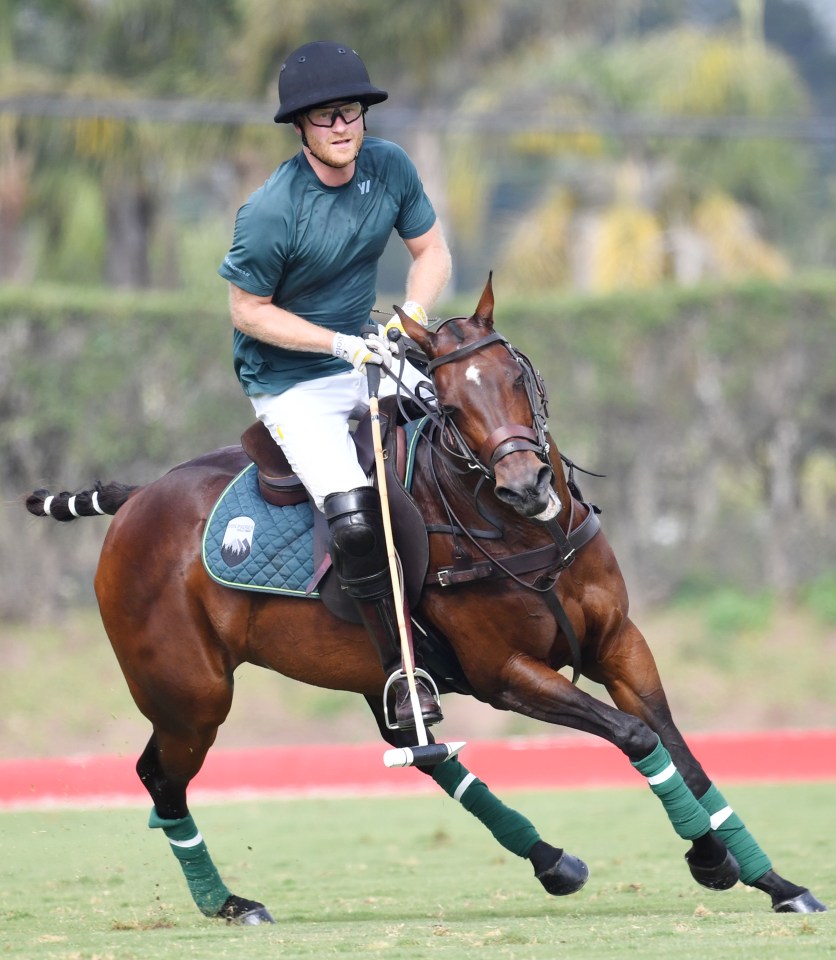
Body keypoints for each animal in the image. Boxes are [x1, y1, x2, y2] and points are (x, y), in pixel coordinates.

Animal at [24, 274, 824, 920]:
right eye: (451, 400)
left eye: (515, 373)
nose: (526, 487)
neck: (516, 530)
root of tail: (136, 499)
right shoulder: (504, 673)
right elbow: (635, 736)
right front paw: (712, 860)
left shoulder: (619, 641)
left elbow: (681, 749)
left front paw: (776, 883)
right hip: (189, 690)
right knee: (161, 776)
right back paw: (228, 903)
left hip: (358, 669)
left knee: (420, 749)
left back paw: (551, 860)